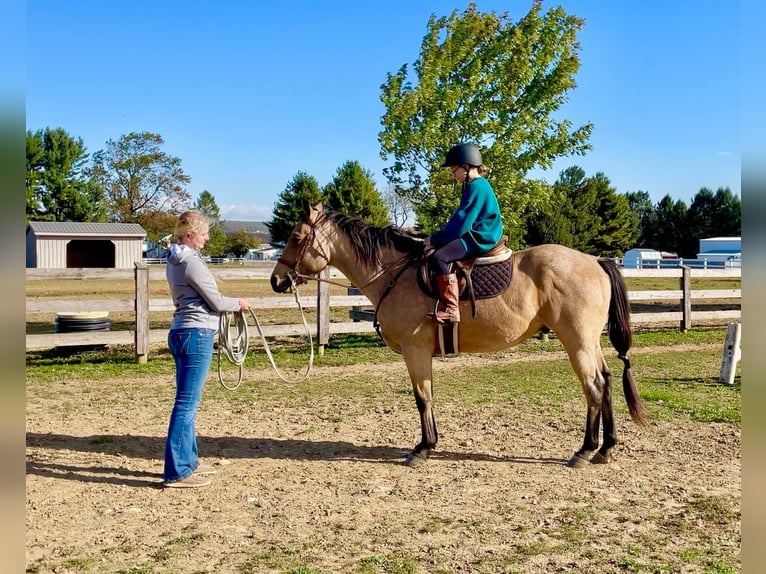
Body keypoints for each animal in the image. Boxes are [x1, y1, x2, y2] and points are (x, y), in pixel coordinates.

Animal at [272, 201, 648, 468]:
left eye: (295, 238)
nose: (276, 280)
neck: (394, 274)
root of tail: (596, 260)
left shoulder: (415, 349)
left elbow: (422, 397)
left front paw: (423, 448)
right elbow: (427, 395)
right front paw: (430, 442)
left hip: (577, 342)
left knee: (594, 387)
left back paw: (585, 451)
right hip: (588, 342)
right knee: (607, 380)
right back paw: (605, 449)